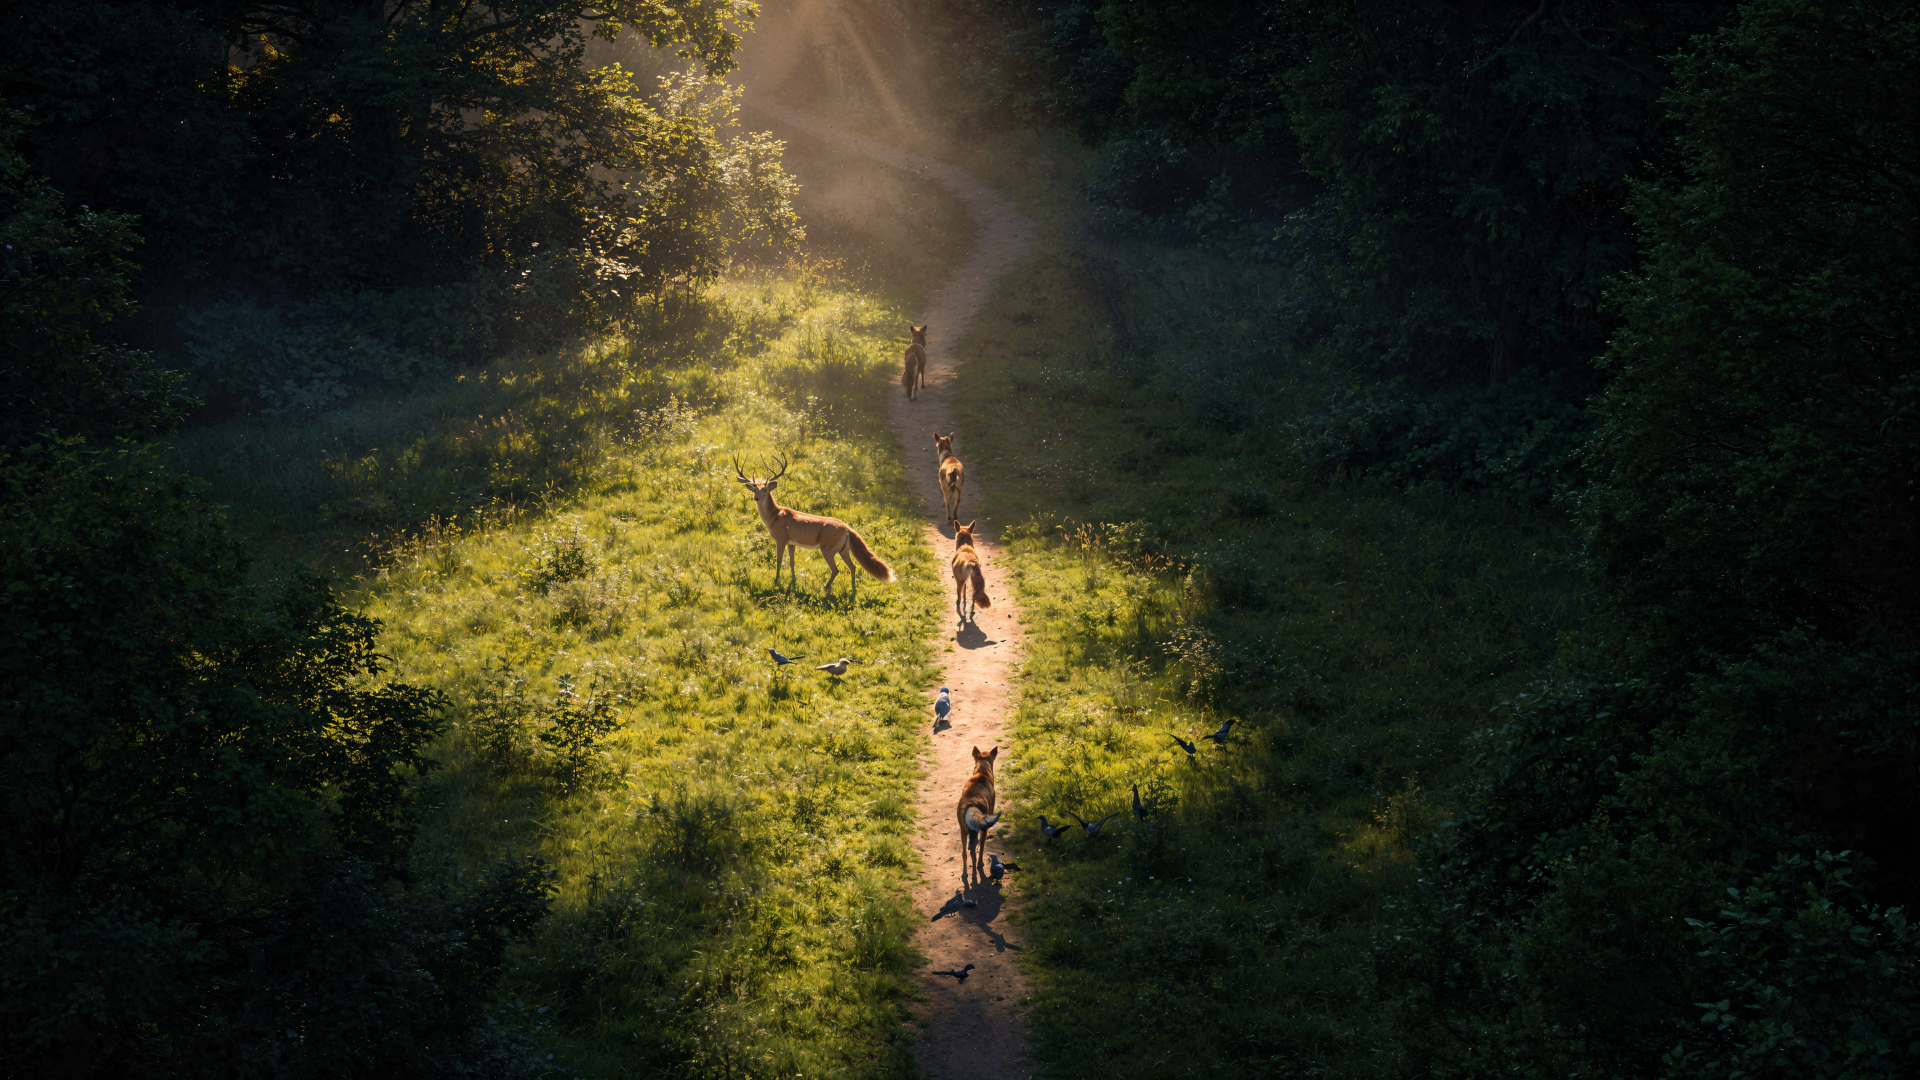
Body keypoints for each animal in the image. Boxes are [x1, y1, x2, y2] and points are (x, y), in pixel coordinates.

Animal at [735, 455, 894, 600]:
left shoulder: (781, 539)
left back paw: (825, 588)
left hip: (828, 548)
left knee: (836, 569)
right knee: (852, 567)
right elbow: (792, 563)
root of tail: (849, 529)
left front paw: (776, 581)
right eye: (754, 489)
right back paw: (852, 591)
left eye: (765, 490)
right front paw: (793, 583)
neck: (774, 517)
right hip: (843, 549)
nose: (756, 498)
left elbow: (779, 560)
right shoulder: (792, 542)